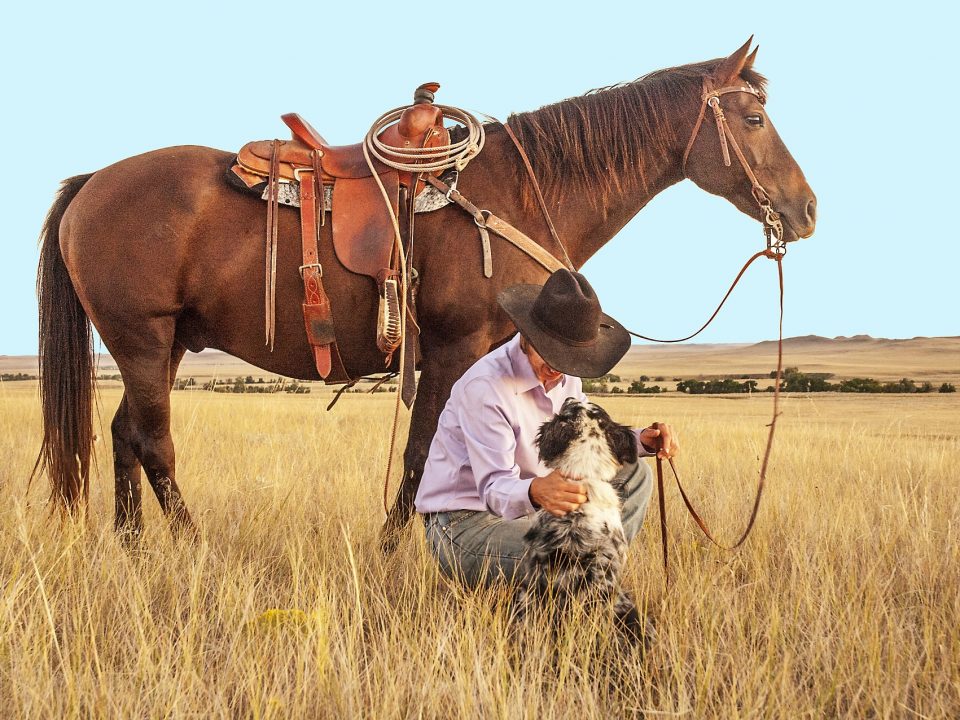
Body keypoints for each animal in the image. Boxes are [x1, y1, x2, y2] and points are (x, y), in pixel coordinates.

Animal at [35, 39, 816, 548]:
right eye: (752, 119)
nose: (806, 210)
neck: (517, 193)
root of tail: (92, 182)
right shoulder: (451, 346)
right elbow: (421, 451)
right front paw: (393, 547)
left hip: (160, 345)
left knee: (125, 435)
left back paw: (133, 546)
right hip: (140, 338)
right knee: (155, 441)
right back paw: (189, 544)